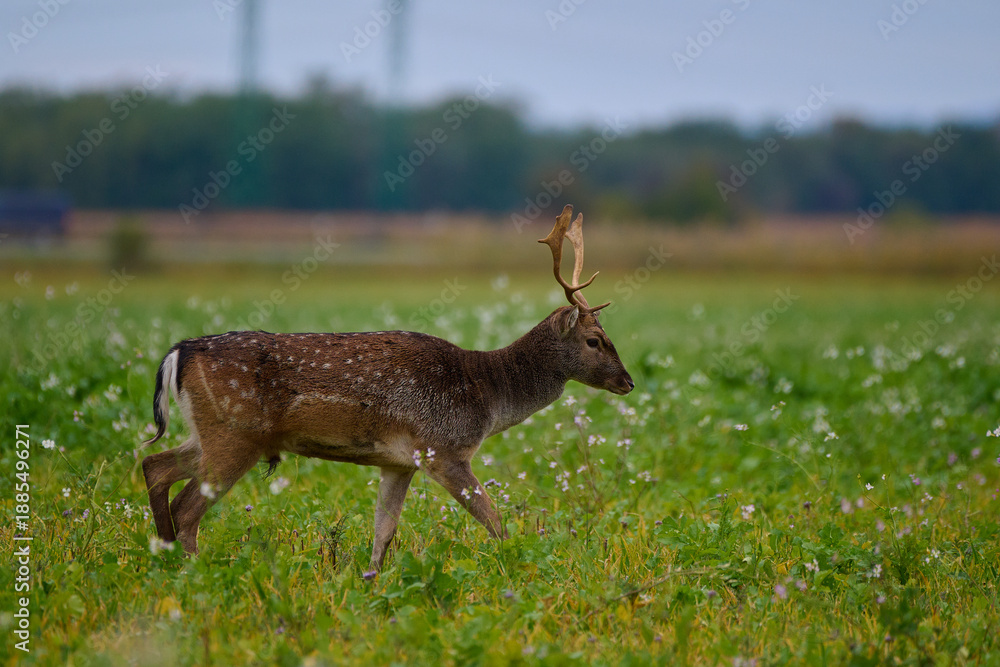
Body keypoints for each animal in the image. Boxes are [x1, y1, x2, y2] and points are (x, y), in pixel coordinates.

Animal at [140, 204, 633, 572]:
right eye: (594, 340)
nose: (627, 382)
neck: (486, 390)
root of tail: (178, 352)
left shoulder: (399, 462)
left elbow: (383, 534)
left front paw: (371, 584)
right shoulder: (444, 449)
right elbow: (494, 521)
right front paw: (518, 566)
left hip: (212, 434)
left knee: (154, 464)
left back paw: (163, 557)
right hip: (234, 434)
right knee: (186, 508)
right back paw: (192, 573)